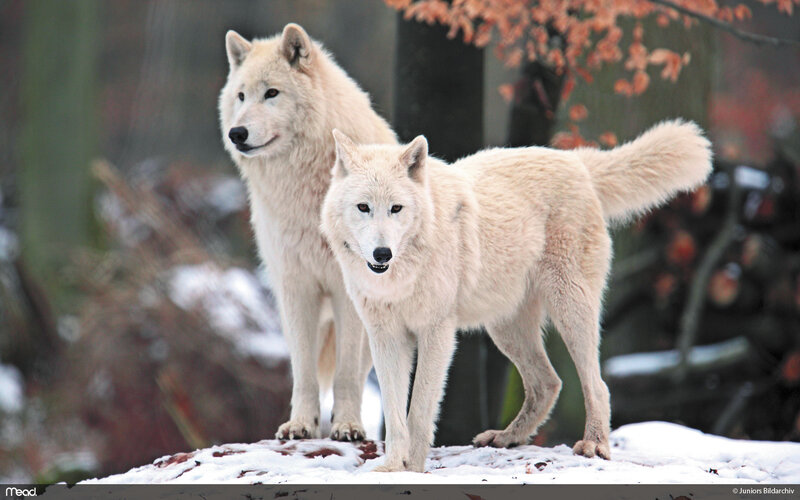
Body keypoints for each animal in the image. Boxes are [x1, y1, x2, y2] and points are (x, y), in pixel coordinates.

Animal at [218, 23, 396, 441]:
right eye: (241, 95)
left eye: (271, 93)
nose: (237, 133)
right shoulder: (296, 287)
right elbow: (303, 371)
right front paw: (301, 424)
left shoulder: (348, 292)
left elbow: (346, 374)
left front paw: (347, 426)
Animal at [321, 121, 712, 471]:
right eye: (363, 207)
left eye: (396, 209)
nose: (382, 253)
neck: (401, 276)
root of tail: (576, 162)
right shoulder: (386, 336)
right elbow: (394, 410)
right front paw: (392, 466)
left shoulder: (437, 333)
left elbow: (419, 411)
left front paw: (413, 468)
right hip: (505, 329)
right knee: (548, 383)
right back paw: (507, 437)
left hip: (569, 310)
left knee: (597, 384)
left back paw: (594, 445)